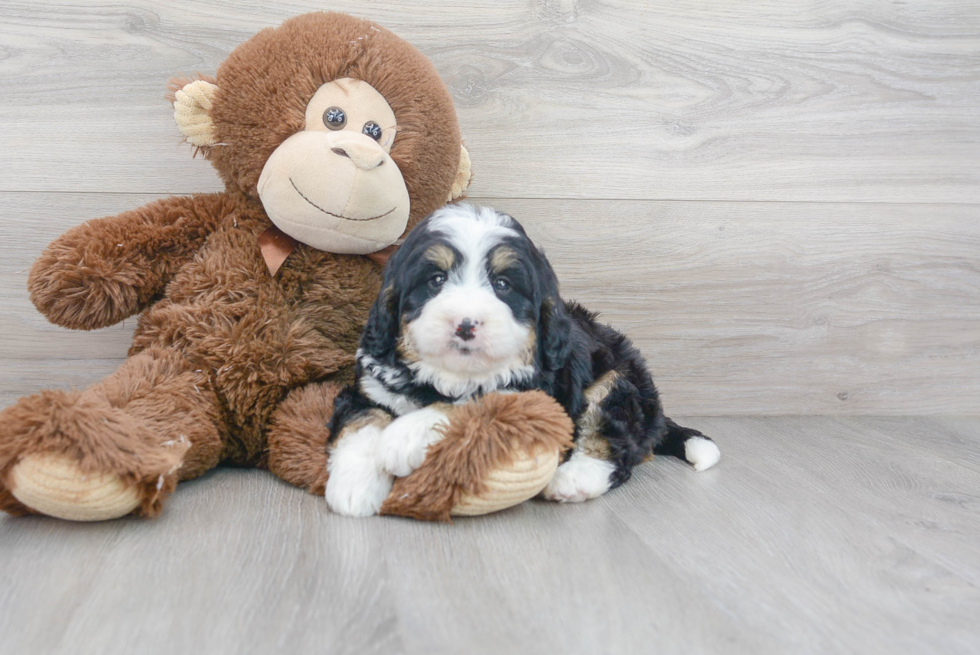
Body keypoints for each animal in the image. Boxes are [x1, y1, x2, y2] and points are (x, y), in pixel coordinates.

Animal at [326, 205, 716, 516]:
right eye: (436, 280)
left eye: (502, 285)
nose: (466, 324)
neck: (448, 378)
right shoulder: (370, 386)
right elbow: (363, 420)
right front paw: (353, 487)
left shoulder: (538, 394)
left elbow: (479, 401)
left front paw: (405, 436)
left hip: (618, 379)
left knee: (615, 440)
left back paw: (574, 478)